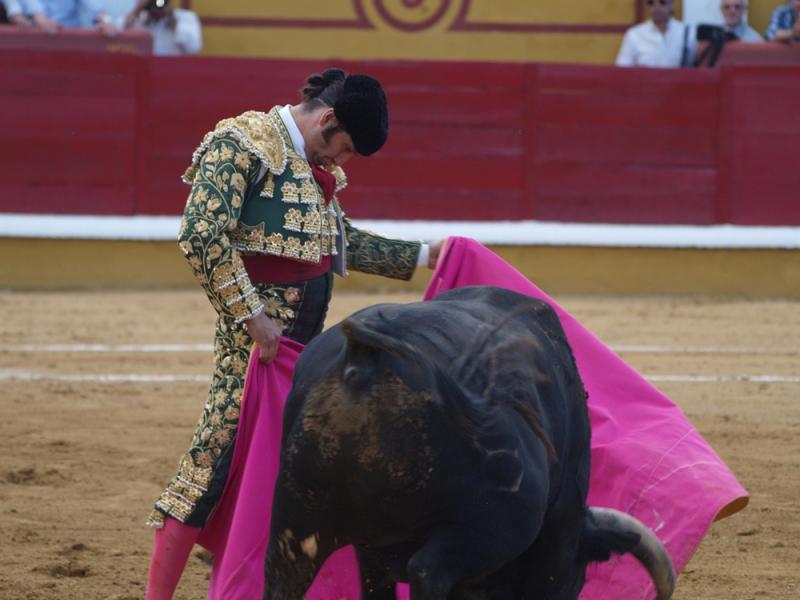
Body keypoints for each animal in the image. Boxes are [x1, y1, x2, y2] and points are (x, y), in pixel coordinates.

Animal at [264, 286, 676, 600]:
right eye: (577, 578)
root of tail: (366, 358)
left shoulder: (370, 554)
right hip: (484, 529)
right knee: (428, 572)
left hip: (296, 525)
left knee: (283, 572)